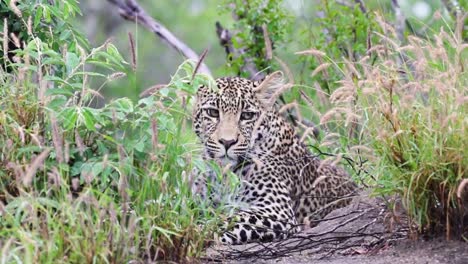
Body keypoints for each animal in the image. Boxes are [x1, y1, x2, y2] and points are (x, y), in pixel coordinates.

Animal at [192, 71, 356, 244]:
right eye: (212, 112)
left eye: (247, 115)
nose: (227, 142)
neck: (223, 173)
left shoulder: (277, 210)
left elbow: (227, 221)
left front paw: (198, 233)